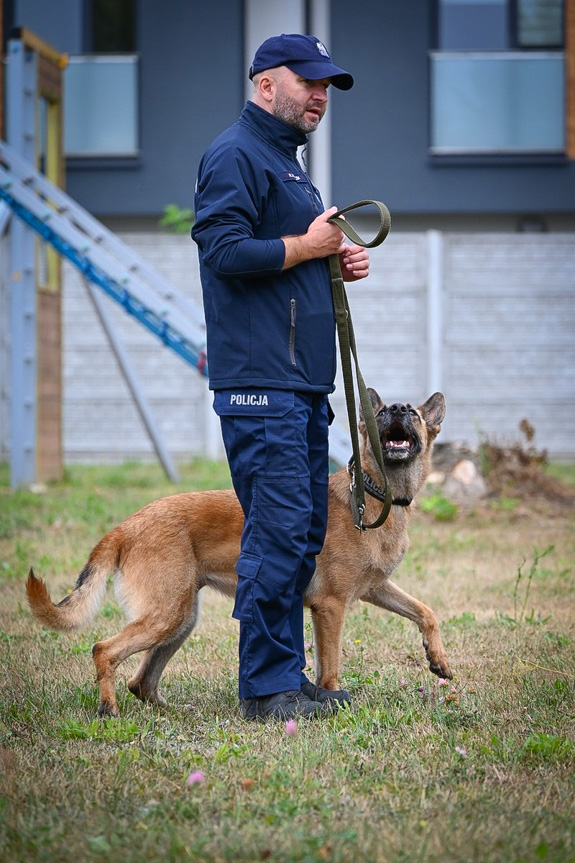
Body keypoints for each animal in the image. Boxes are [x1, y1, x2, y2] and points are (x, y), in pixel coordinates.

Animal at [27, 390, 452, 716]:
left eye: (413, 413)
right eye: (381, 413)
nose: (397, 408)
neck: (371, 496)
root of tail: (126, 526)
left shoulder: (374, 589)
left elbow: (426, 611)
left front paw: (439, 658)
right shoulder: (330, 607)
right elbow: (329, 667)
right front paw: (331, 698)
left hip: (180, 620)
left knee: (141, 680)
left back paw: (170, 712)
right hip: (166, 615)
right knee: (104, 650)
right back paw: (108, 708)